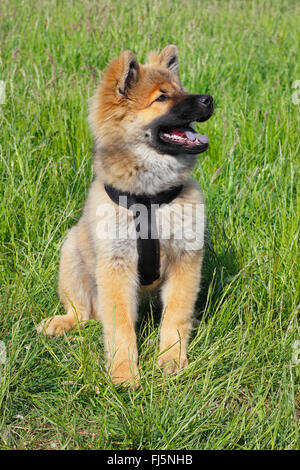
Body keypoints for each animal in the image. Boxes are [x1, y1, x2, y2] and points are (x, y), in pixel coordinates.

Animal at [39, 46, 213, 386]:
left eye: (182, 89)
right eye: (162, 97)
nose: (209, 99)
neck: (150, 198)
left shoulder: (185, 259)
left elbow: (175, 316)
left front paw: (171, 360)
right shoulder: (116, 264)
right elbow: (120, 326)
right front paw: (123, 372)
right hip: (72, 255)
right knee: (82, 311)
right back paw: (62, 323)